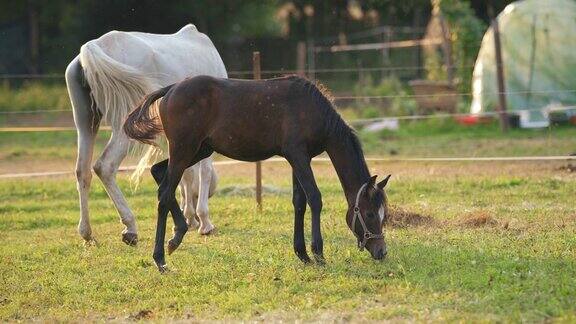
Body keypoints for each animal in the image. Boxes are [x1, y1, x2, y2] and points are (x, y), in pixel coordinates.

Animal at [65, 24, 227, 244]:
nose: (192, 218)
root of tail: (92, 48)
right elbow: (204, 171)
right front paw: (204, 222)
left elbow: (183, 174)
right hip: (122, 130)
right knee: (104, 167)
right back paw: (130, 227)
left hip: (86, 125)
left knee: (82, 171)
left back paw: (87, 233)